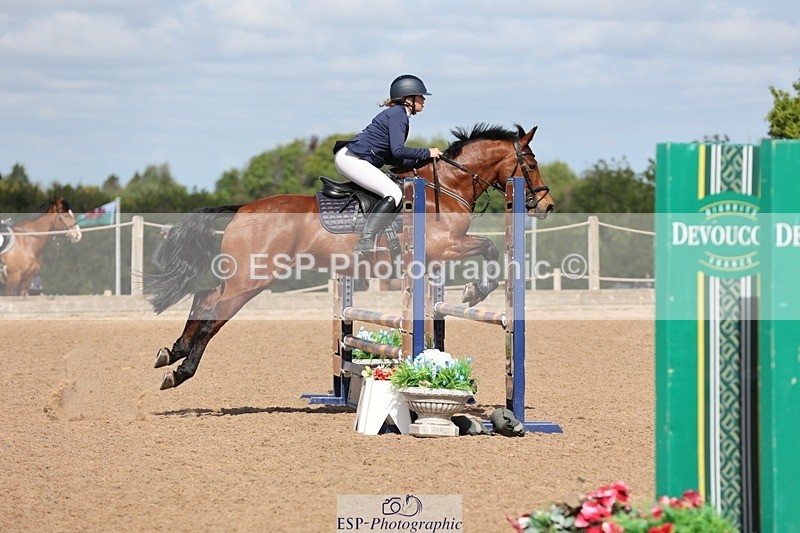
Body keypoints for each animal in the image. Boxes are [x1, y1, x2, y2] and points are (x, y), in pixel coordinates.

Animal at [148, 123, 554, 390]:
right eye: (532, 164)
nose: (547, 205)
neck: (446, 188)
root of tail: (241, 210)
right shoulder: (445, 246)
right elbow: (489, 248)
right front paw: (475, 291)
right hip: (253, 278)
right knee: (212, 315)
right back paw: (180, 371)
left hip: (243, 275)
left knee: (204, 298)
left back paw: (171, 352)